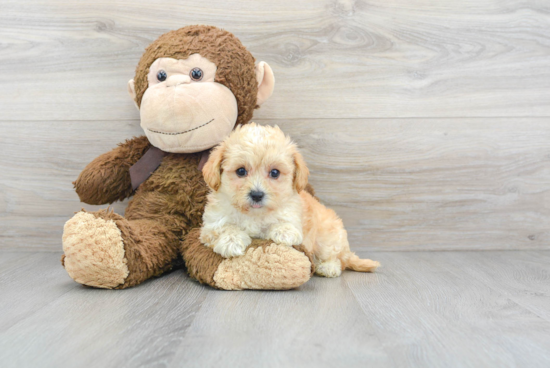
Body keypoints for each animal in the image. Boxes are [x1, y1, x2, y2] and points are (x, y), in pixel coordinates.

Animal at [201, 122, 382, 278]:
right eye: (240, 171)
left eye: (275, 173)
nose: (257, 195)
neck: (254, 214)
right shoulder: (210, 225)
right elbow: (223, 227)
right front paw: (231, 241)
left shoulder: (293, 214)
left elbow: (286, 221)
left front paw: (284, 232)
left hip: (327, 239)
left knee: (336, 258)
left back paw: (328, 267)